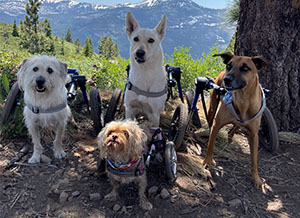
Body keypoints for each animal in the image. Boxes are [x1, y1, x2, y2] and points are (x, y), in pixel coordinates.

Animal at [204, 52, 268, 189]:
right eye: (229, 65)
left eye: (245, 68)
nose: (226, 79)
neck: (243, 100)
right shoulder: (217, 125)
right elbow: (210, 146)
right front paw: (207, 162)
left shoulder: (254, 135)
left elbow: (254, 160)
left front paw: (256, 179)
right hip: (213, 106)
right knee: (211, 121)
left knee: (236, 127)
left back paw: (230, 136)